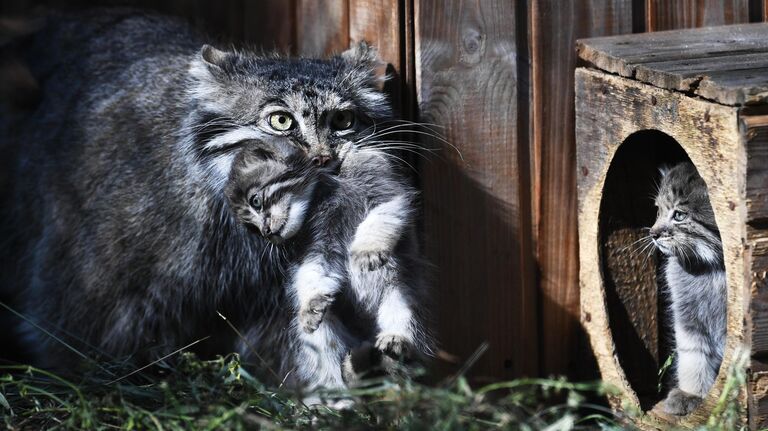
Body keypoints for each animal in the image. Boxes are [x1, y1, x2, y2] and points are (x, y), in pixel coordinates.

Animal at [226, 140, 432, 394]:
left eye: (255, 201)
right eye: (252, 229)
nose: (266, 233)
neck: (333, 183)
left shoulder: (385, 190)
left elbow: (377, 221)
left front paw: (366, 252)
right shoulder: (318, 245)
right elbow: (314, 273)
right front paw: (311, 304)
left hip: (402, 293)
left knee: (403, 338)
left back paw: (394, 342)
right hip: (324, 335)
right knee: (330, 362)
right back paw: (342, 388)